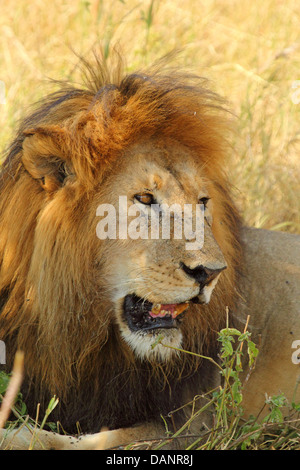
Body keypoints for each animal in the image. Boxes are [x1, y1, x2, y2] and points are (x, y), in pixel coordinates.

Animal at [0, 56, 300, 452]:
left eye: (202, 202)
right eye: (144, 198)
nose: (211, 273)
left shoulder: (195, 425)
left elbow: (82, 441)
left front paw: (17, 436)